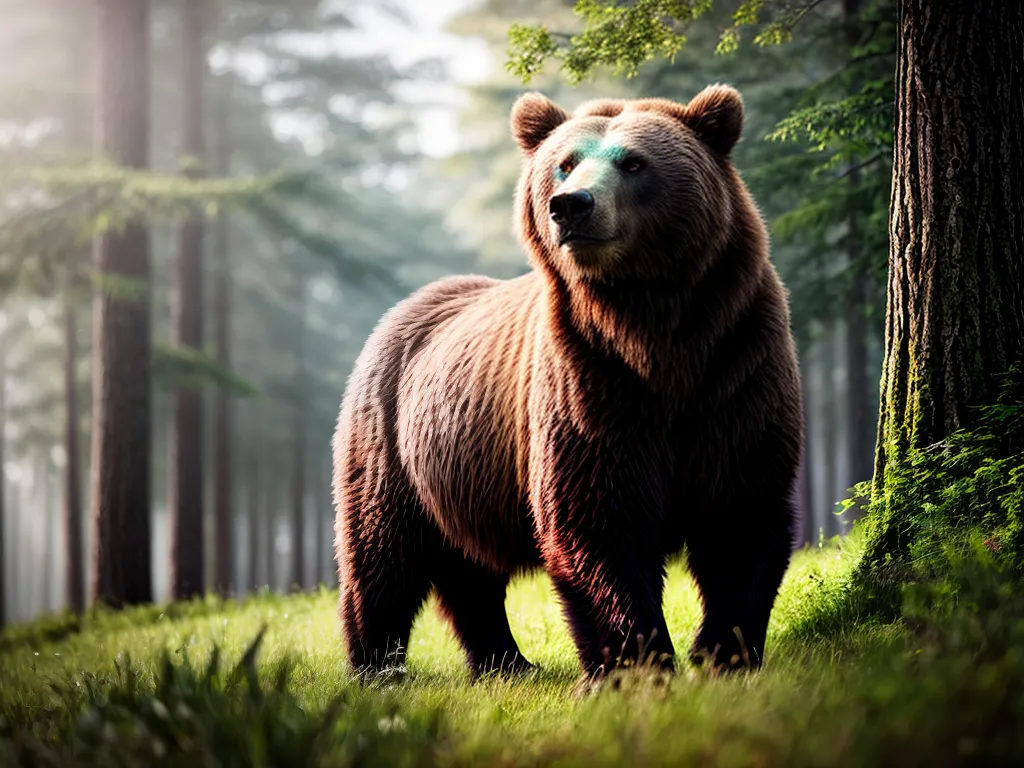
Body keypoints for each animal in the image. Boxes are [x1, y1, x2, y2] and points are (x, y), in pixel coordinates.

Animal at [332, 84, 803, 678]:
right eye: (565, 162)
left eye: (633, 162)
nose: (571, 205)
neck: (650, 328)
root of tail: (402, 310)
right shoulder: (588, 384)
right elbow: (596, 523)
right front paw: (634, 662)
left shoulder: (735, 369)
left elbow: (741, 513)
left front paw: (723, 653)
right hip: (392, 439)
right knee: (383, 554)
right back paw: (377, 664)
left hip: (462, 464)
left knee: (467, 569)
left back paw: (504, 660)